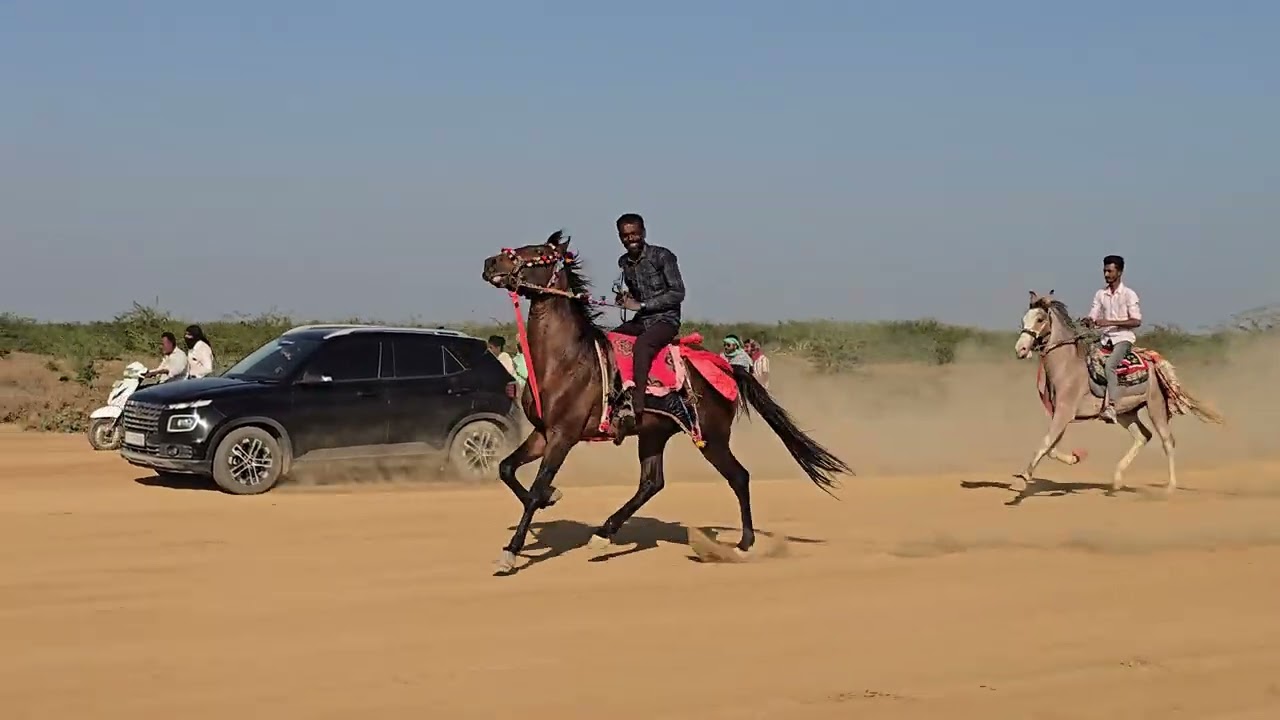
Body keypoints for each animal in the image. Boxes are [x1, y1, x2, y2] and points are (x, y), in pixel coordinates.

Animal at [481, 231, 853, 573]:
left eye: (537, 251)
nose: (490, 263)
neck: (565, 360)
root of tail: (727, 369)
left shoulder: (564, 436)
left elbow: (533, 489)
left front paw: (511, 552)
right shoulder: (543, 433)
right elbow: (507, 469)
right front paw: (551, 498)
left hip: (711, 438)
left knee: (739, 477)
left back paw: (744, 544)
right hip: (653, 433)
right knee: (651, 483)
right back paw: (603, 534)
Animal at [1013, 290, 1224, 495]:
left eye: (1040, 319)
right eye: (1024, 319)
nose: (1020, 349)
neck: (1068, 367)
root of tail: (1153, 361)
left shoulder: (1064, 413)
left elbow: (1046, 443)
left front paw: (1022, 478)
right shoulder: (1063, 414)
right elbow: (1051, 448)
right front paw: (1076, 457)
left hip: (1156, 406)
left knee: (1167, 441)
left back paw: (1170, 487)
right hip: (1126, 412)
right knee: (1143, 436)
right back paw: (1116, 481)